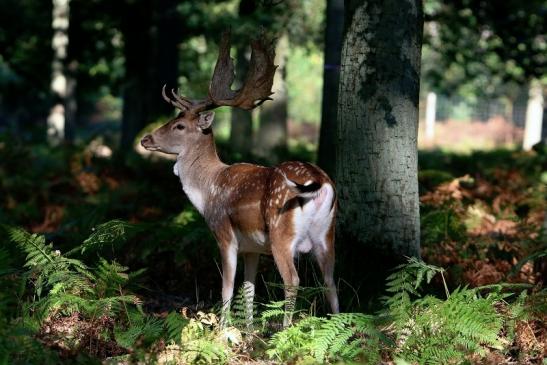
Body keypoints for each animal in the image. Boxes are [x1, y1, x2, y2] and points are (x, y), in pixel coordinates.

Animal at [141, 32, 338, 328]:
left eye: (179, 125)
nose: (146, 138)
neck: (208, 190)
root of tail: (319, 182)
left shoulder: (224, 234)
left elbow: (227, 287)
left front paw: (223, 329)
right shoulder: (251, 248)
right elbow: (248, 289)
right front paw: (248, 330)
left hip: (282, 232)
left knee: (293, 280)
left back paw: (284, 330)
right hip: (327, 233)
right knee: (331, 281)